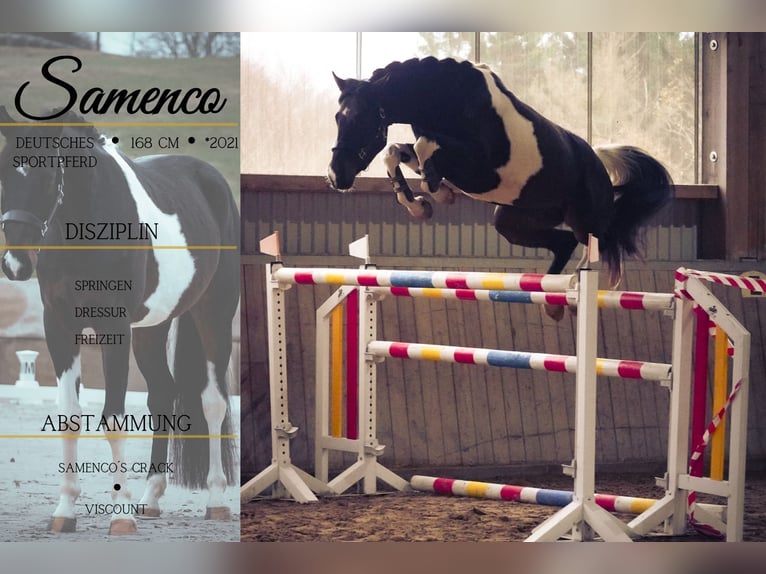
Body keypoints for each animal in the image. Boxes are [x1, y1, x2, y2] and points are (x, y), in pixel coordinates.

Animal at [0, 106, 239, 534]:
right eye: (3, 174)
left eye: (49, 176)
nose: (16, 263)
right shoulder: (59, 327)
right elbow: (69, 417)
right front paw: (65, 511)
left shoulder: (114, 329)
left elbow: (113, 419)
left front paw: (120, 515)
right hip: (150, 330)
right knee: (163, 393)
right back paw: (151, 498)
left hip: (213, 313)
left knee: (213, 402)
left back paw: (215, 500)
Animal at [327, 57, 673, 318]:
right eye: (337, 118)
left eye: (363, 119)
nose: (335, 176)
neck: (444, 99)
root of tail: (598, 165)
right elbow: (397, 151)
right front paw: (423, 203)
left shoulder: (480, 165)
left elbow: (425, 146)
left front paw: (435, 190)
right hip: (511, 222)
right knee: (563, 243)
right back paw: (554, 303)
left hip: (584, 221)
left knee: (595, 247)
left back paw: (575, 288)